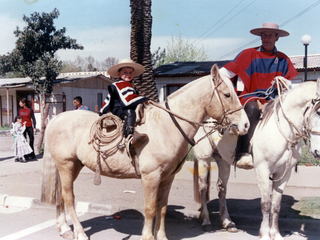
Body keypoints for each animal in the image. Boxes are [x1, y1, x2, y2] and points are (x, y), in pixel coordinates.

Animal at [40, 63, 250, 240]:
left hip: (73, 166)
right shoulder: (151, 176)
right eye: (227, 94)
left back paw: (64, 228)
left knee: (60, 194)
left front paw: (161, 236)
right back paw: (80, 233)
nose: (245, 125)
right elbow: (150, 208)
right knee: (68, 197)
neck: (167, 127)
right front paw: (148, 236)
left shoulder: (167, 178)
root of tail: (56, 118)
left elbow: (162, 207)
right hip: (66, 165)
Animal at [194, 77, 320, 240]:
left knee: (222, 188)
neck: (282, 130)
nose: (317, 151)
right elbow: (265, 204)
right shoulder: (262, 170)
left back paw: (227, 222)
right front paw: (265, 234)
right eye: (318, 111)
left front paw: (276, 234)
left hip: (223, 160)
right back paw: (206, 220)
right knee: (203, 188)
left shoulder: (284, 174)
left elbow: (276, 205)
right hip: (204, 158)